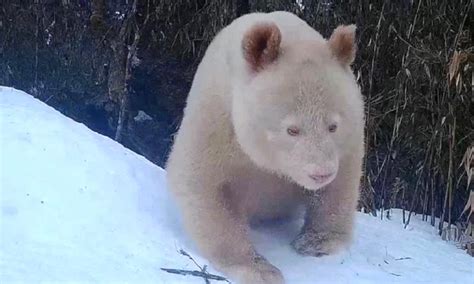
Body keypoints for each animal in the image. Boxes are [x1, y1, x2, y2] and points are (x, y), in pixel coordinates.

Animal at [167, 10, 366, 284]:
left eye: (333, 126)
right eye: (292, 129)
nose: (321, 173)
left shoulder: (349, 136)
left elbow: (340, 183)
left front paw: (316, 243)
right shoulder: (217, 117)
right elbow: (203, 184)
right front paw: (260, 269)